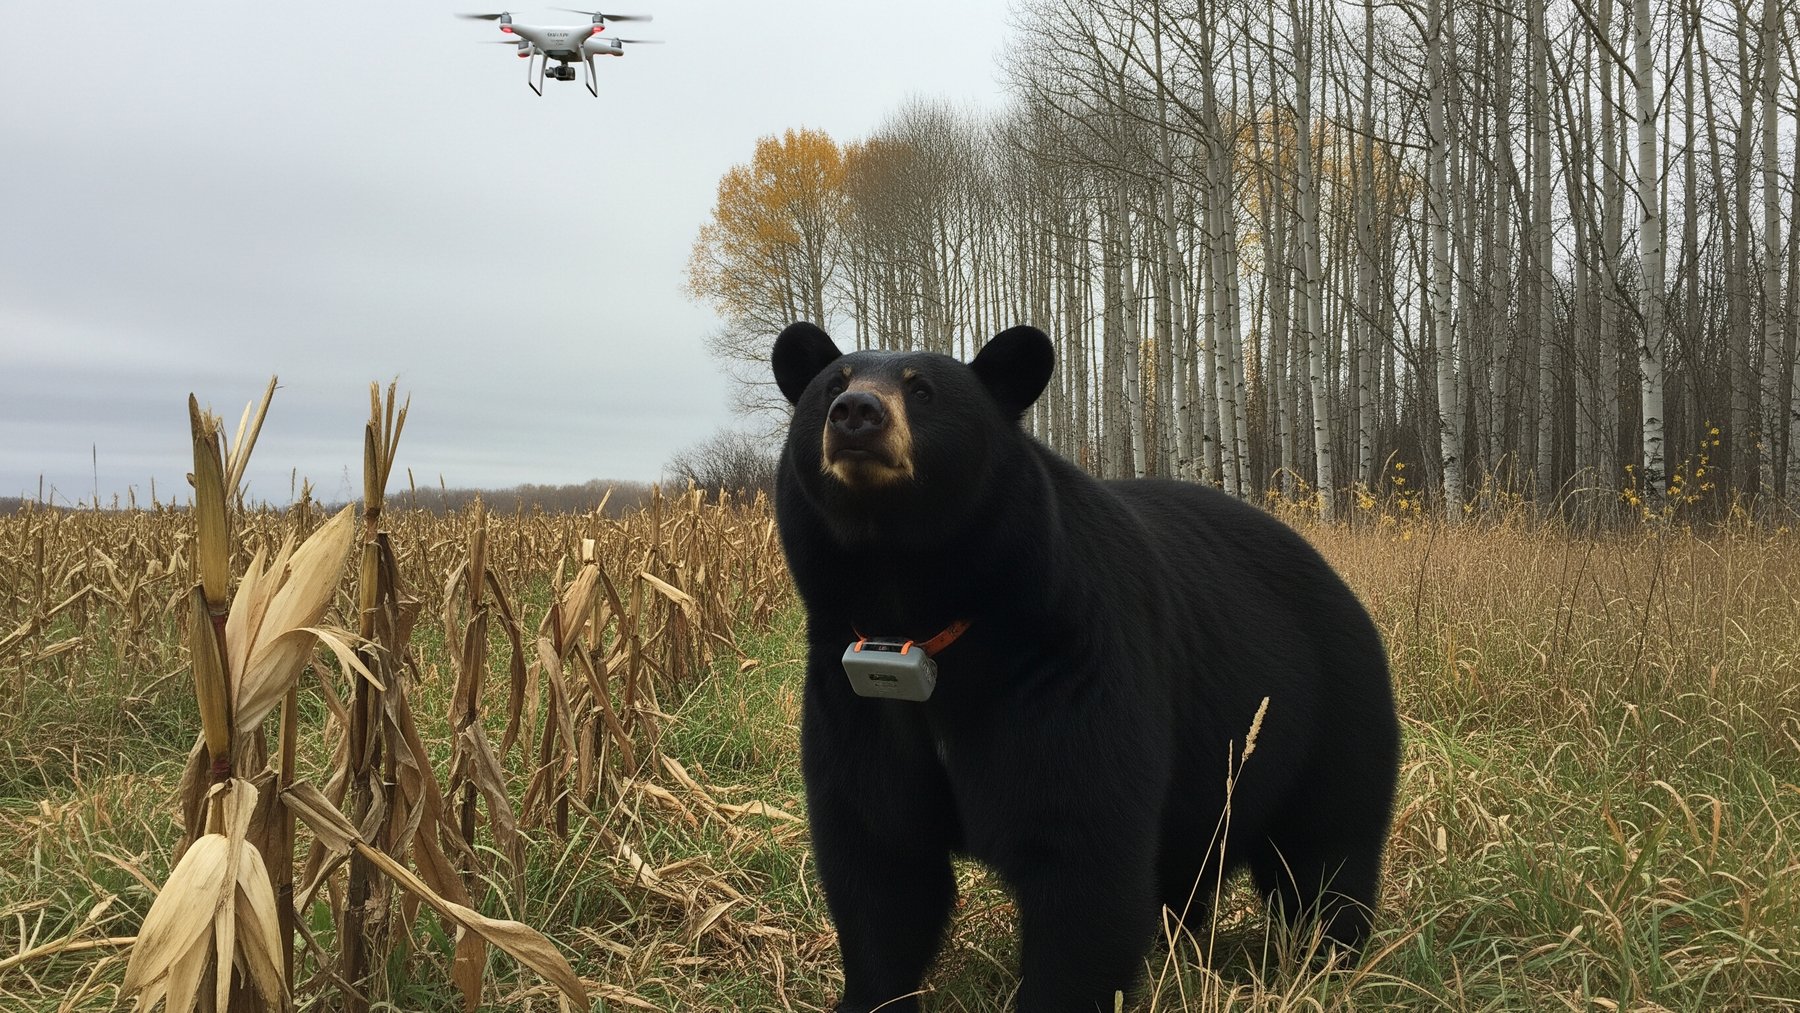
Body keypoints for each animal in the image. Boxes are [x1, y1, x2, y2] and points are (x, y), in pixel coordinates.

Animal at [770, 321, 1400, 1013]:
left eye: (923, 390)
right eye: (832, 384)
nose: (856, 413)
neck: (917, 614)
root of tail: (1337, 580)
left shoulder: (1065, 664)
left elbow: (1080, 854)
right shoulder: (852, 692)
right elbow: (878, 857)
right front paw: (868, 995)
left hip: (1327, 716)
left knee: (1325, 852)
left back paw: (1332, 957)